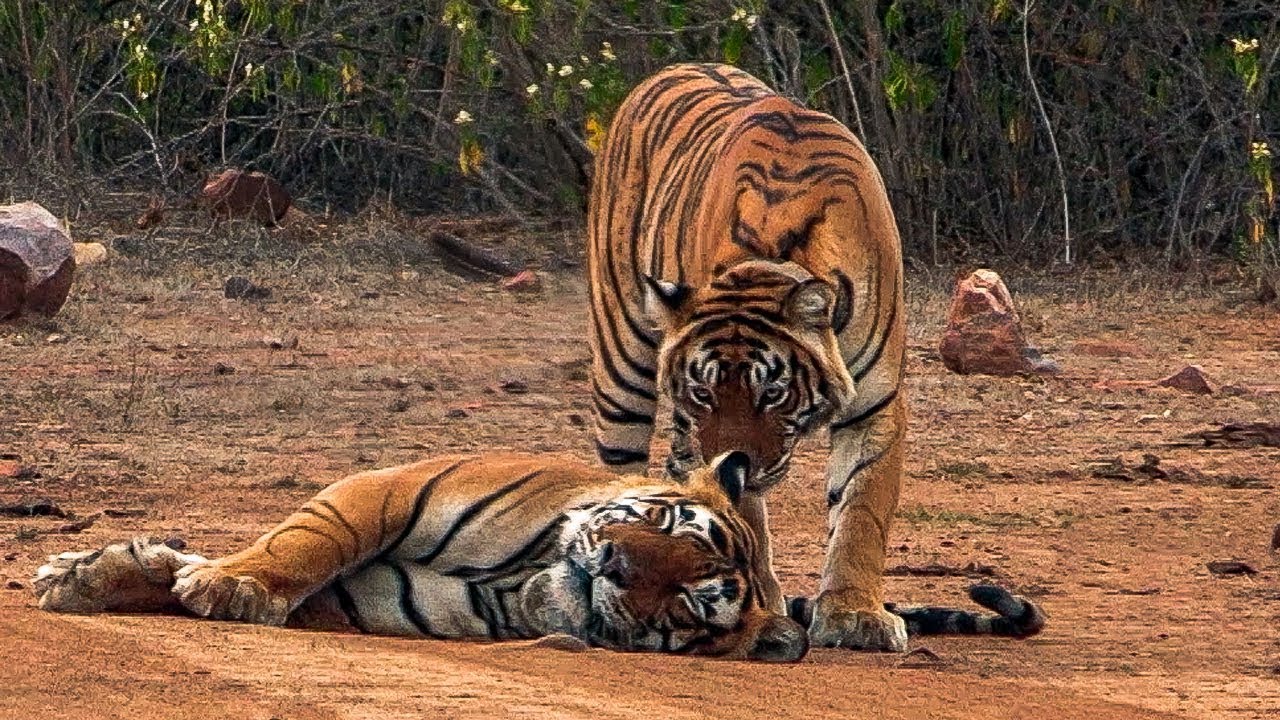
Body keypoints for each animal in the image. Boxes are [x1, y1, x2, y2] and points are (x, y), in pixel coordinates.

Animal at [587, 63, 911, 651]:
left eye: (773, 392)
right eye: (703, 391)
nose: (731, 460)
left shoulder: (876, 402)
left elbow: (862, 511)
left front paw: (854, 614)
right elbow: (746, 520)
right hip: (621, 367)